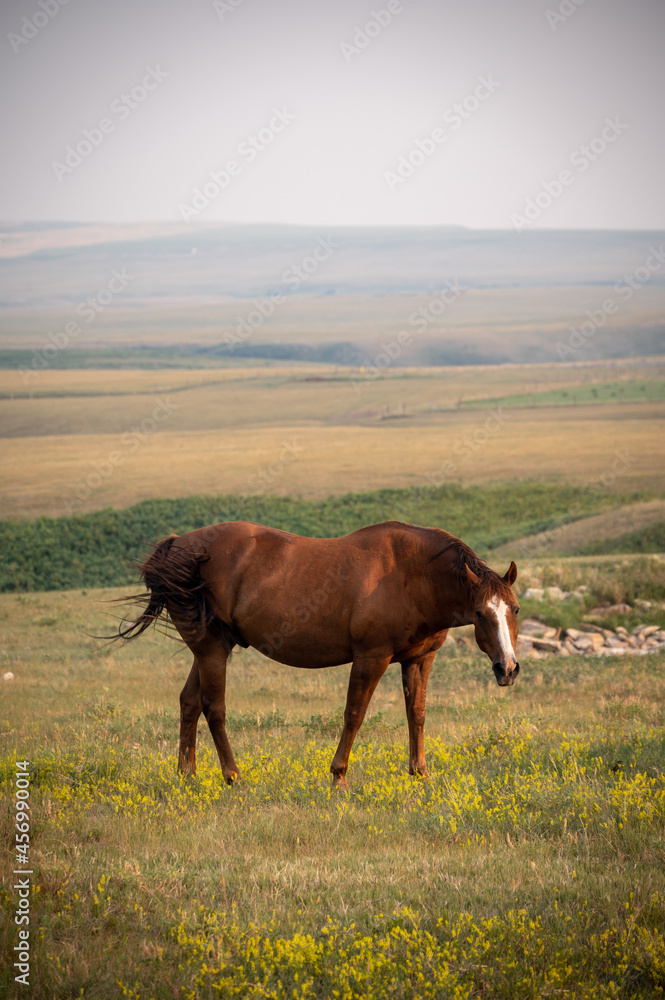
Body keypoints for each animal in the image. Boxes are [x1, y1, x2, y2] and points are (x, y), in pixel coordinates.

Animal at [118, 520, 520, 784]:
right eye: (480, 613)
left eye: (514, 609)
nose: (508, 669)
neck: (412, 574)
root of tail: (179, 544)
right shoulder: (371, 657)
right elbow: (354, 714)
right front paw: (338, 777)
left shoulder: (420, 659)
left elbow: (416, 715)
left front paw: (419, 775)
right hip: (212, 648)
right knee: (212, 707)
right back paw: (233, 776)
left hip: (208, 649)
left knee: (189, 702)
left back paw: (186, 776)